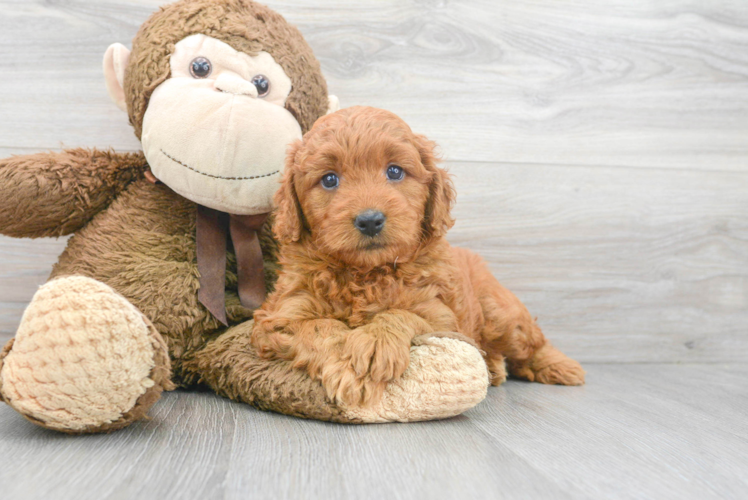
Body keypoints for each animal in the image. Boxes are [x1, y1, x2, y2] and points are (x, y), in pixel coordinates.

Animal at [251, 105, 584, 406]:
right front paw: (347, 368)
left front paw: (375, 343)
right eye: (329, 179)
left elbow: (402, 313)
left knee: (530, 341)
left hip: (499, 312)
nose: (370, 220)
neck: (365, 273)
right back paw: (494, 367)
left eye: (395, 171)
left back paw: (562, 367)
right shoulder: (279, 315)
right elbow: (321, 327)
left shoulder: (441, 317)